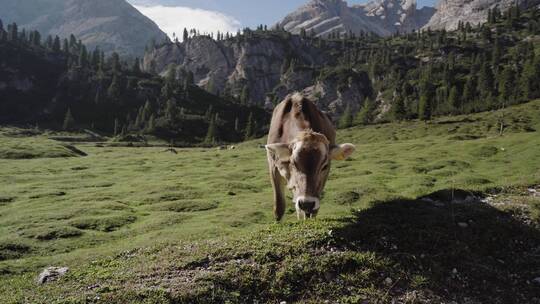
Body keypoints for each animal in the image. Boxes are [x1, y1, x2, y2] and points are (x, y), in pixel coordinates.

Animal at [264, 93, 354, 221]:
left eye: (324, 166)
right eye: (293, 163)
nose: (306, 203)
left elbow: (312, 209)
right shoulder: (273, 166)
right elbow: (279, 207)